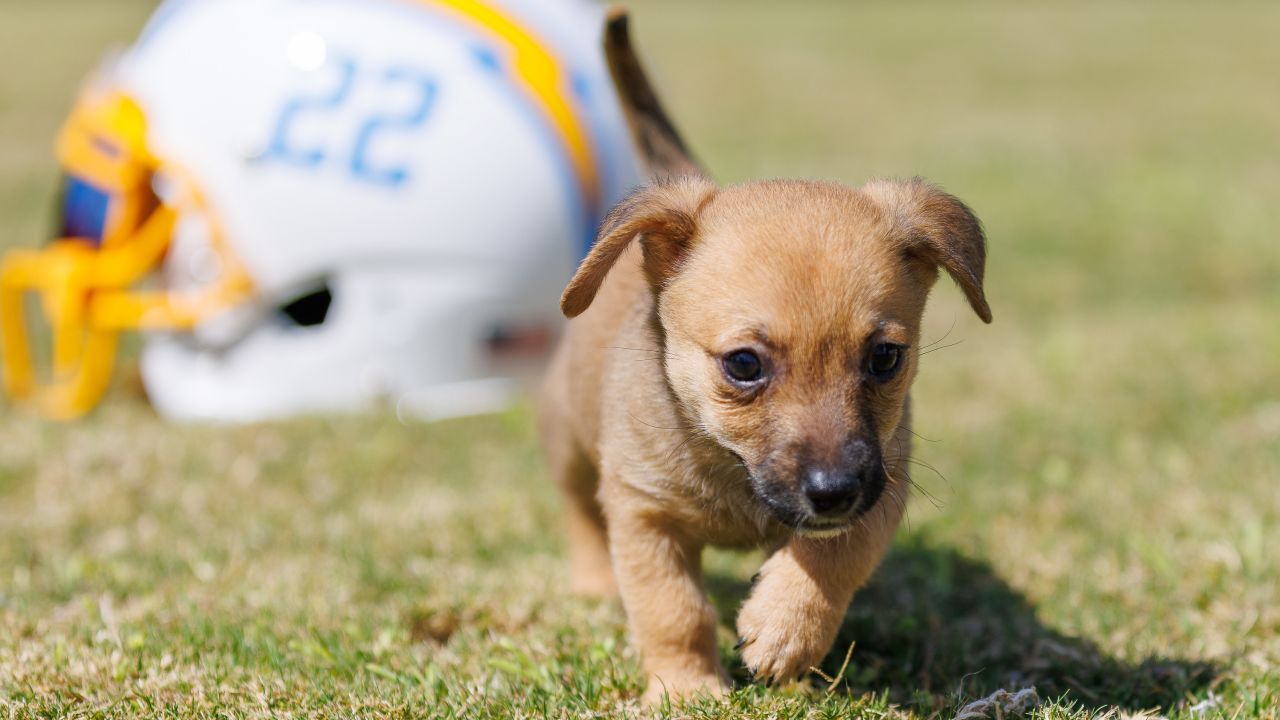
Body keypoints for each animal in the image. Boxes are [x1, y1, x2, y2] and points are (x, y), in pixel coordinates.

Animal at [537, 9, 988, 702]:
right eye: (743, 365)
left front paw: (786, 629)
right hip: (567, 438)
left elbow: (836, 556)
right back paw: (593, 585)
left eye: (885, 359)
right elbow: (673, 611)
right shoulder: (643, 512)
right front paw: (686, 690)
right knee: (579, 510)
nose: (833, 492)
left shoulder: (884, 484)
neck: (734, 473)